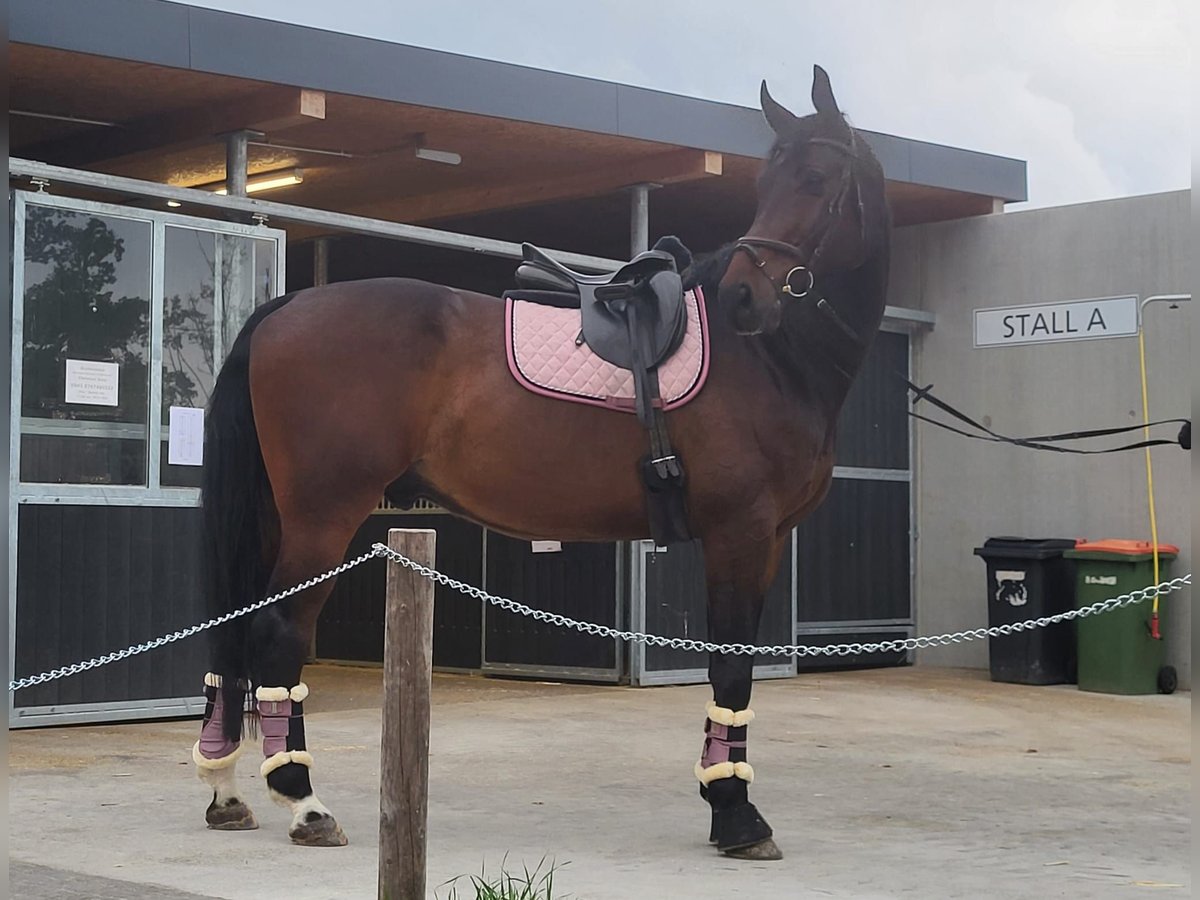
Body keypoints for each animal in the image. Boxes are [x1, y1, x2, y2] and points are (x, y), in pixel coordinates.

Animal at [194, 66, 892, 864]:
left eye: (814, 178)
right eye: (772, 180)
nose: (746, 298)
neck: (772, 360)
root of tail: (281, 312)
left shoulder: (768, 541)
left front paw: (730, 802)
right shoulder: (739, 535)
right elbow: (731, 667)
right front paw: (737, 815)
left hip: (276, 520)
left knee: (235, 632)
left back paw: (227, 791)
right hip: (322, 519)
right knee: (277, 635)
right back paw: (304, 803)